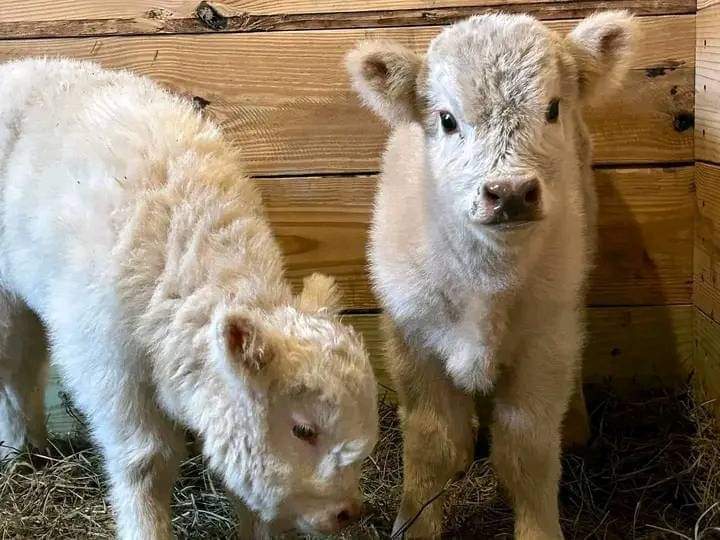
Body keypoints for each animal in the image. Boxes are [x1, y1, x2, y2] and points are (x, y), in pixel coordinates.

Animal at [0, 57, 380, 536]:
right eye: (303, 430)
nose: (346, 513)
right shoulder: (106, 366)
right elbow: (144, 461)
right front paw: (144, 527)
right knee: (11, 369)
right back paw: (17, 454)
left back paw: (33, 450)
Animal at [348, 10, 636, 536]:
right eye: (446, 119)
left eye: (553, 108)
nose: (511, 192)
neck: (487, 283)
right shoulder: (412, 339)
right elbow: (432, 443)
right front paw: (415, 525)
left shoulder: (545, 343)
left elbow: (526, 452)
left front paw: (540, 529)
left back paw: (577, 428)